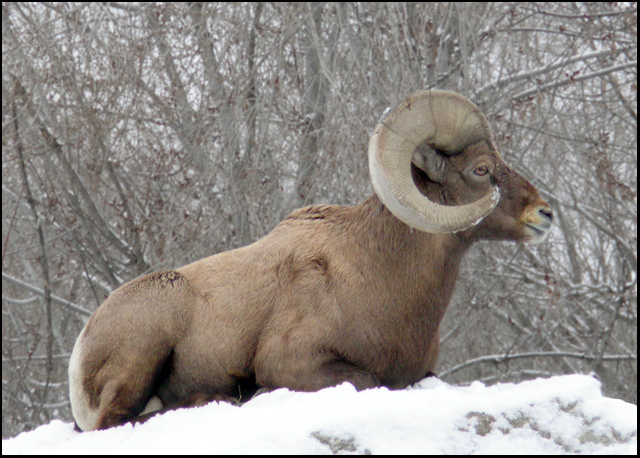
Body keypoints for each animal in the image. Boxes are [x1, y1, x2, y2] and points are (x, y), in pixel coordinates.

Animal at [69, 89, 552, 430]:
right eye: (481, 170)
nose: (544, 213)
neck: (377, 274)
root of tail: (82, 351)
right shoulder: (295, 360)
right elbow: (368, 379)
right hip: (143, 351)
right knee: (116, 420)